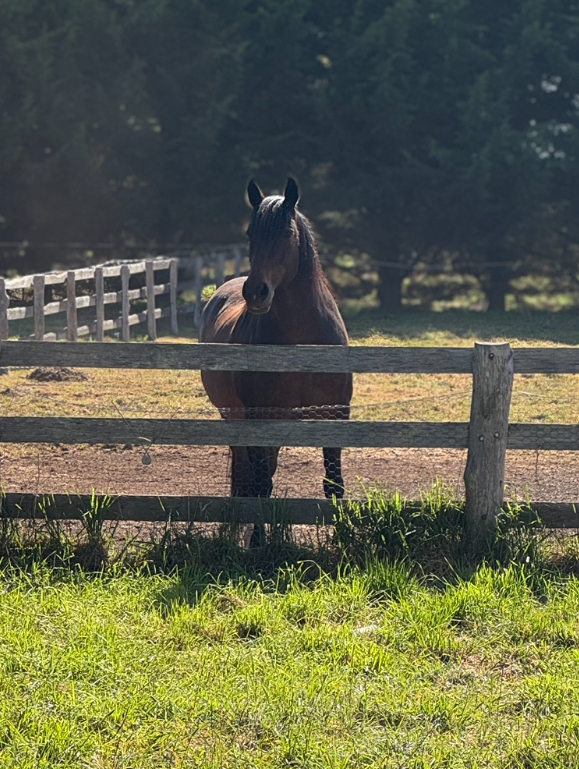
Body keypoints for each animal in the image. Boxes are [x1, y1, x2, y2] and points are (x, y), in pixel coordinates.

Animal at [199, 178, 353, 501]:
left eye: (287, 233)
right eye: (250, 233)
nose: (256, 292)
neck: (301, 345)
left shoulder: (335, 415)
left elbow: (334, 484)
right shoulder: (260, 420)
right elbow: (261, 486)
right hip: (235, 419)